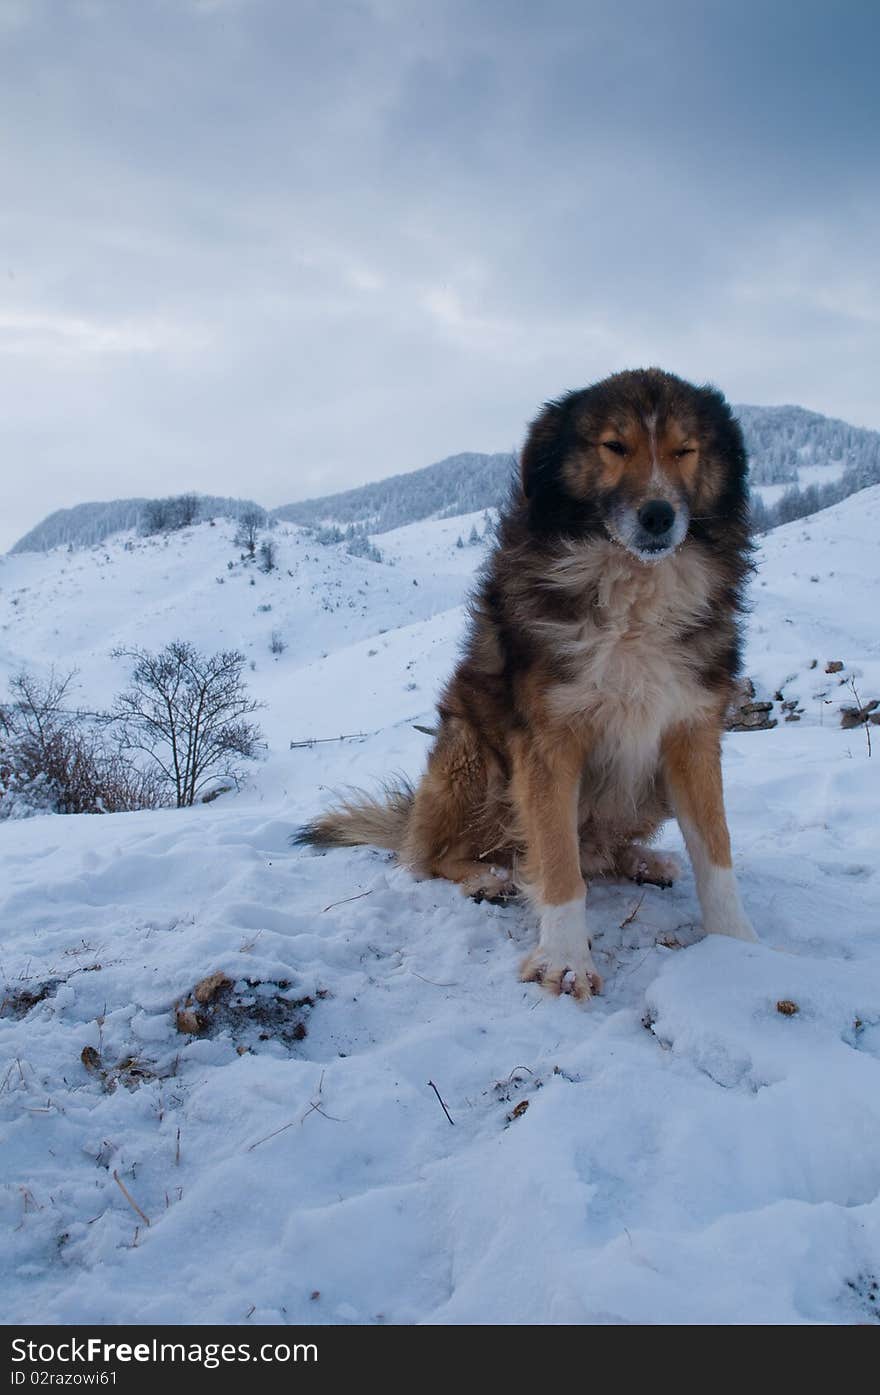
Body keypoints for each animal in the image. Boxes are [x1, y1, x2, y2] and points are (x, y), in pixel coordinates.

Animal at [299, 365, 758, 998]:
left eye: (685, 450)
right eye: (614, 446)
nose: (658, 515)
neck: (633, 590)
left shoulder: (691, 730)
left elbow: (717, 851)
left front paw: (738, 949)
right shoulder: (549, 741)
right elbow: (558, 862)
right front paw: (565, 959)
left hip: (644, 785)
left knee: (598, 853)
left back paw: (641, 861)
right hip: (470, 756)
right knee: (436, 856)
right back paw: (486, 877)